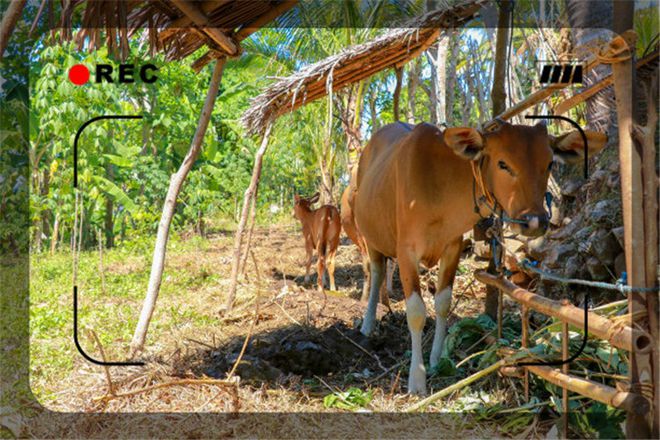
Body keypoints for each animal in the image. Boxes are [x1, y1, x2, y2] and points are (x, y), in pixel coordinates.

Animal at [354, 121, 604, 396]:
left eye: (549, 163)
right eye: (503, 164)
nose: (534, 221)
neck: (439, 186)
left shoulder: (452, 247)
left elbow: (443, 303)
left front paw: (437, 358)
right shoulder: (406, 251)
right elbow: (416, 312)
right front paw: (416, 379)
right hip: (370, 236)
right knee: (376, 272)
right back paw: (367, 323)